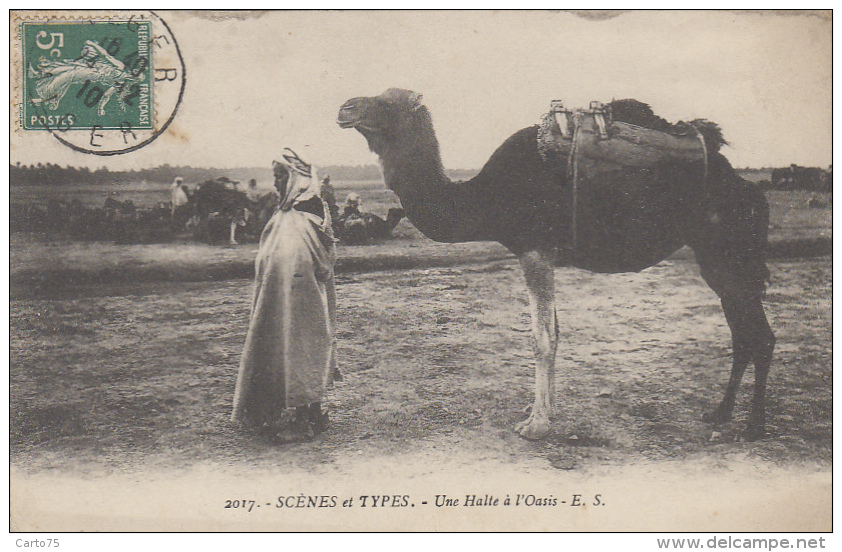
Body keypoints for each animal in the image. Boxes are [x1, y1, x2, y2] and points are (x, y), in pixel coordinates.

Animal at [336, 87, 776, 440]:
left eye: (388, 102)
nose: (345, 107)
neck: (486, 195)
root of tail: (751, 191)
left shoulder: (535, 250)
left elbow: (541, 339)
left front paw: (536, 425)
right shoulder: (542, 255)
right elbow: (556, 335)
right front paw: (543, 410)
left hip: (730, 253)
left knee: (761, 336)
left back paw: (754, 426)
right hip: (715, 258)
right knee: (743, 334)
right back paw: (720, 413)